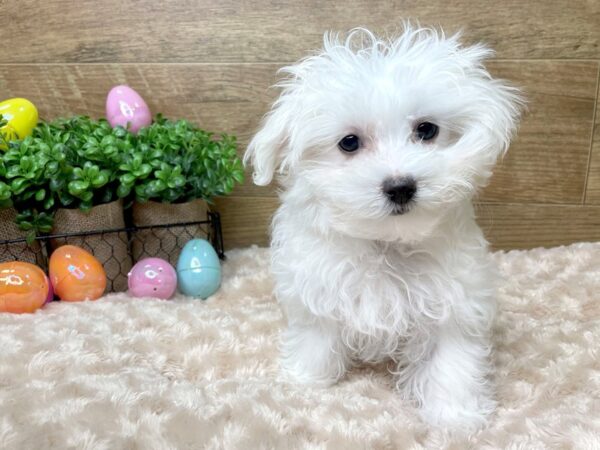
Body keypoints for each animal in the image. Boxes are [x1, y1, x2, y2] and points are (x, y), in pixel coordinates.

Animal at [243, 24, 520, 432]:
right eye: (349, 142)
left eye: (426, 130)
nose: (400, 186)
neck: (386, 242)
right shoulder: (318, 287)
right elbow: (316, 336)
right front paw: (307, 381)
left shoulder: (455, 299)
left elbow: (451, 358)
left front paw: (456, 417)